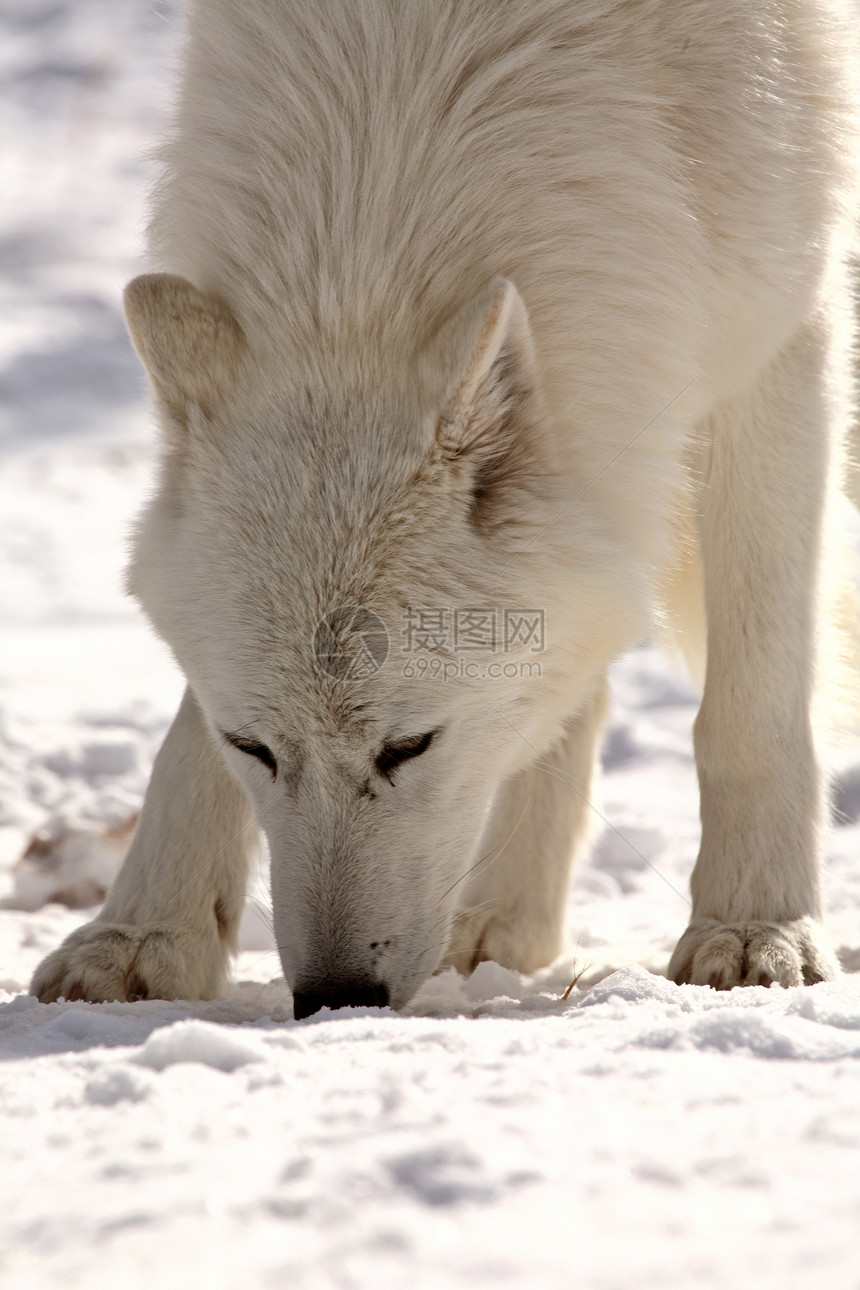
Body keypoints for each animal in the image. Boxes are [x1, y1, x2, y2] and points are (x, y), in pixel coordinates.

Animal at [31, 0, 860, 1011]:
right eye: (255, 747)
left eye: (410, 746)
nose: (335, 994)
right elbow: (182, 745)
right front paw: (141, 934)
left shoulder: (781, 339)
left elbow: (752, 706)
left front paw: (756, 929)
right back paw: (507, 925)